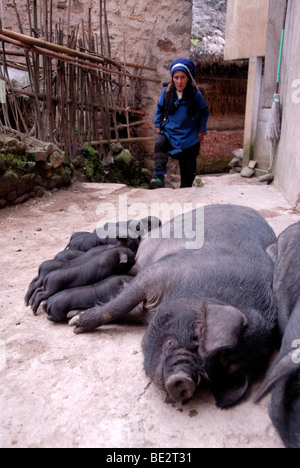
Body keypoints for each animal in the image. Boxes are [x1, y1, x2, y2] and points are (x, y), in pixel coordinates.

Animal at [69, 205, 278, 410]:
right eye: (199, 333)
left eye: (215, 372)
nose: (186, 382)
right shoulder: (159, 272)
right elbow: (119, 305)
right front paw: (75, 323)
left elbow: (128, 310)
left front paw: (73, 316)